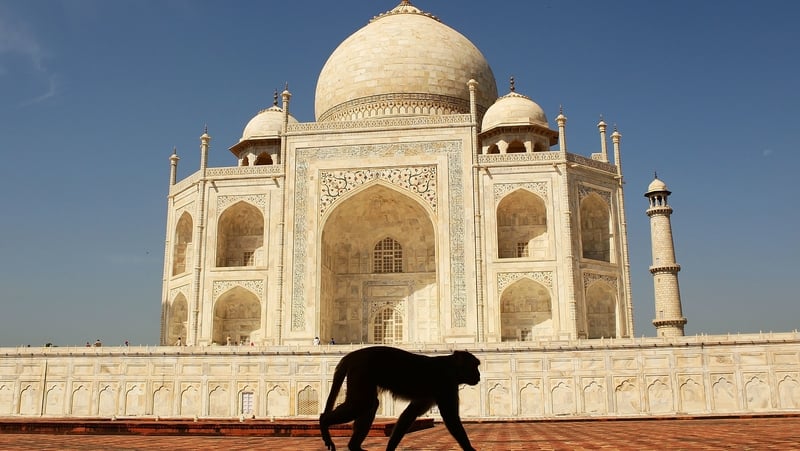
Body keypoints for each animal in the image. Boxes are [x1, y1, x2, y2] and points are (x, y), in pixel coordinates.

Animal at [319, 346, 480, 451]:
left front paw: (390, 448)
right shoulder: (446, 384)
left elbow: (408, 415)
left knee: (370, 404)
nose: (478, 375)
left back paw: (354, 447)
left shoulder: (429, 396)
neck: (451, 367)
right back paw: (324, 421)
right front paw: (470, 449)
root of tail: (352, 355)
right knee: (363, 403)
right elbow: (451, 418)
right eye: (475, 366)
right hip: (362, 372)